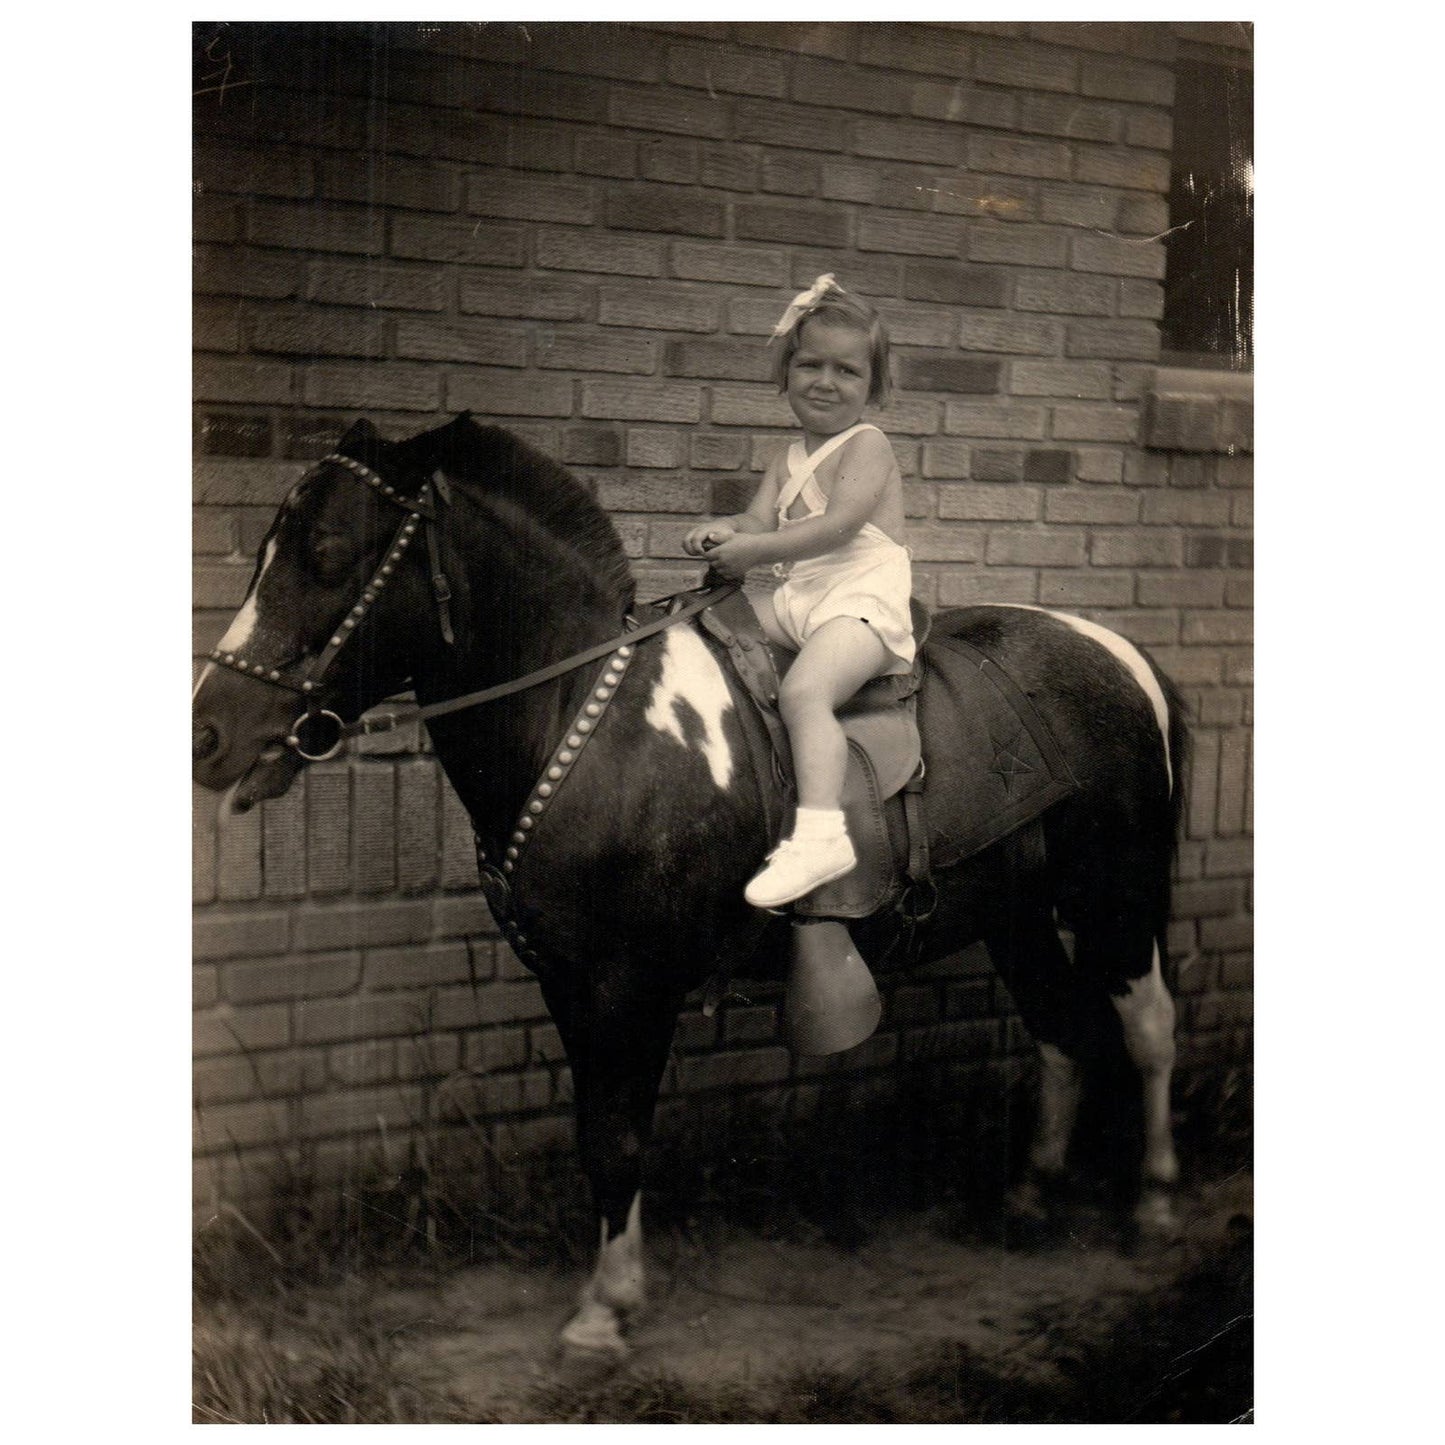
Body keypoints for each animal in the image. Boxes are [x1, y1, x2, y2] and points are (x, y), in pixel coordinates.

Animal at [192, 416, 1184, 1352]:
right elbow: (598, 1132)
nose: (207, 733)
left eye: (328, 554)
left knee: (1145, 1028)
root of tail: (1123, 655)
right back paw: (1028, 1197)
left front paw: (604, 1310)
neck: (587, 719)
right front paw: (614, 1288)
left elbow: (619, 1134)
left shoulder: (630, 983)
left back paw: (1154, 1202)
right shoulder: (568, 981)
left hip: (1116, 894)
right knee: (1062, 1027)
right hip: (1016, 913)